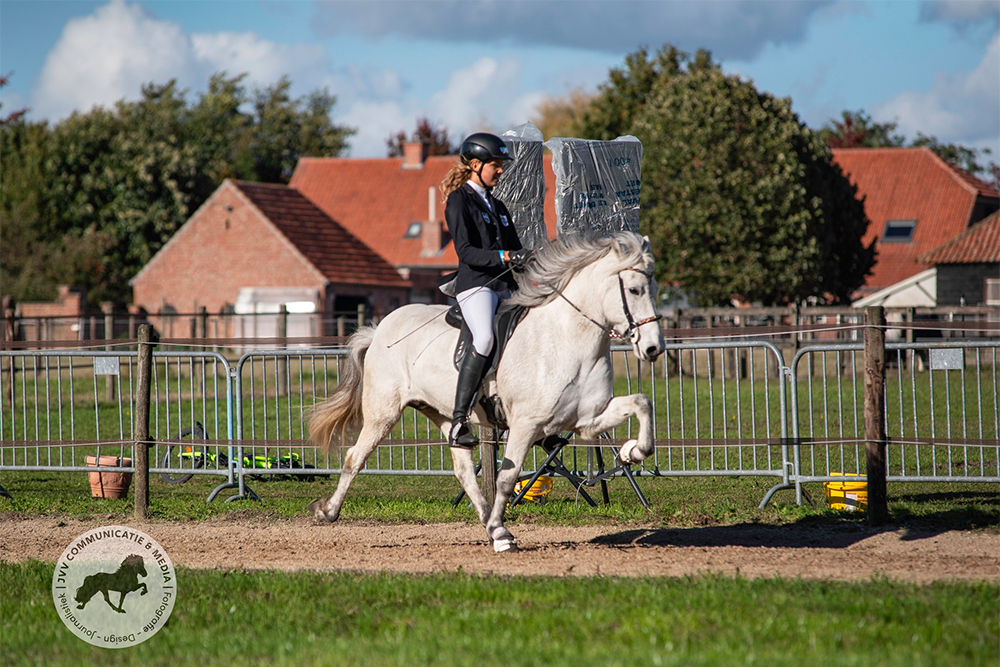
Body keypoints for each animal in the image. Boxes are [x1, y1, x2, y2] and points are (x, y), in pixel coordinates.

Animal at [306, 231, 664, 552]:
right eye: (634, 289)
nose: (653, 348)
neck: (567, 339)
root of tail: (379, 329)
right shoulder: (525, 425)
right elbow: (507, 478)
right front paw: (501, 530)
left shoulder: (587, 419)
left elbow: (642, 402)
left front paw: (632, 451)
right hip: (383, 412)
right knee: (355, 457)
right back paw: (328, 511)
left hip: (444, 416)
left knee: (464, 470)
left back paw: (493, 528)